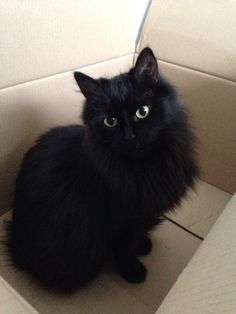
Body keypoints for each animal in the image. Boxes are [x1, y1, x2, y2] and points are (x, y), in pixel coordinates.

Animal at [7, 48, 198, 292]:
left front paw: (143, 244)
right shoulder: (120, 219)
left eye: (142, 112)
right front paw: (132, 270)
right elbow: (125, 248)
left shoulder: (142, 213)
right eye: (110, 121)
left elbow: (136, 236)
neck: (143, 168)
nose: (130, 136)